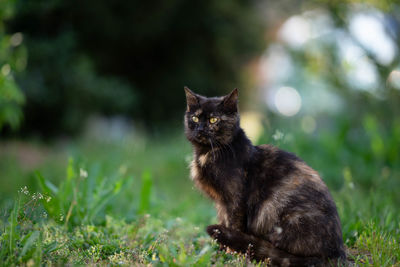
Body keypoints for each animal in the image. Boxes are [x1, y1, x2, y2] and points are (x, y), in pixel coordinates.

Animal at [183, 87, 346, 266]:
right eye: (195, 118)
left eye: (213, 120)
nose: (200, 130)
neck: (207, 153)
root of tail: (336, 253)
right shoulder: (221, 204)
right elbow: (223, 223)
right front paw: (220, 253)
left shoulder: (235, 200)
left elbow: (232, 226)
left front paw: (231, 256)